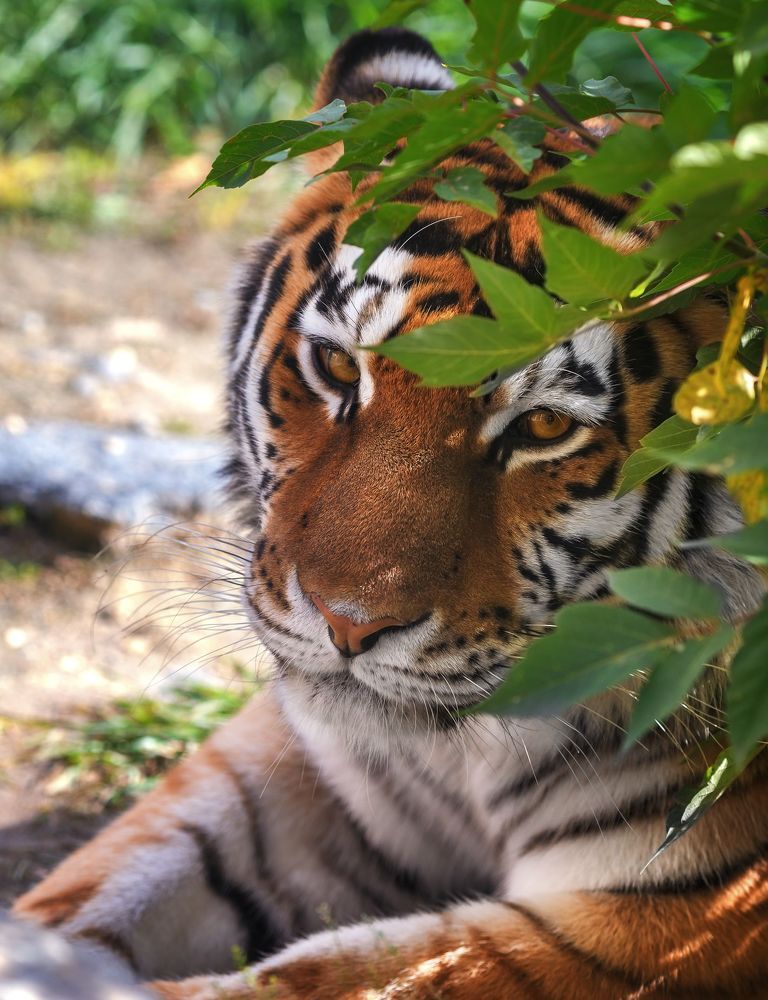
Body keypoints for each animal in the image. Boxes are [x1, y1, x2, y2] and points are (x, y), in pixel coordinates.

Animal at [13, 26, 768, 1000]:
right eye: (339, 368)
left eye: (545, 427)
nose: (346, 624)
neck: (469, 762)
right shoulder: (281, 772)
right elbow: (102, 883)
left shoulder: (653, 928)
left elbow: (313, 975)